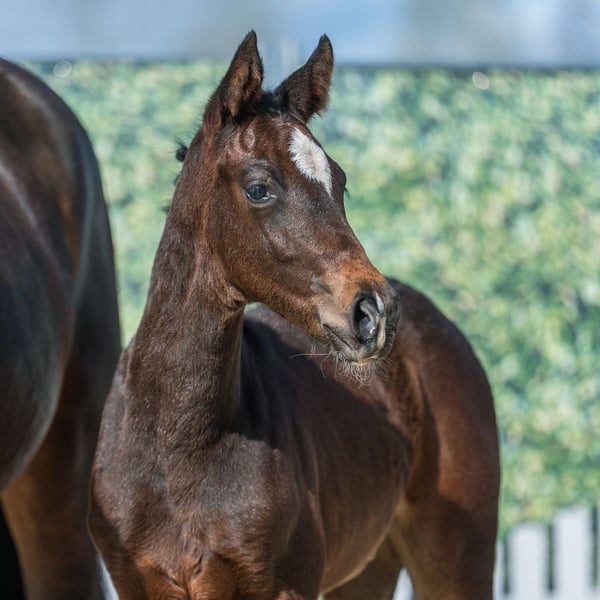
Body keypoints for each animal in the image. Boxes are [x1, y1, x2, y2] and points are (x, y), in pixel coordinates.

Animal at [89, 32, 500, 599]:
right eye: (260, 187)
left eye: (340, 182)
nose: (374, 312)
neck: (177, 448)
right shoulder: (135, 581)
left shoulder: (283, 585)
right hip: (368, 566)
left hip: (455, 555)